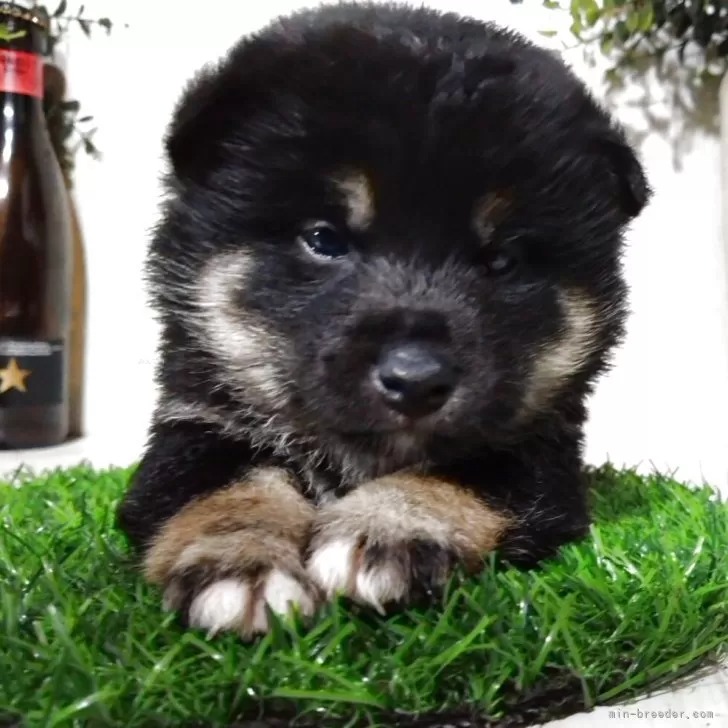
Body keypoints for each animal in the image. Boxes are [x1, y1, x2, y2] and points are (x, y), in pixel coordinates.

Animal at [117, 0, 650, 639]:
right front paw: (241, 566)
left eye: (504, 260)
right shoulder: (194, 424)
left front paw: (386, 532)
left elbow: (462, 472)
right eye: (324, 239)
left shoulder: (541, 454)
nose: (416, 380)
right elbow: (225, 489)